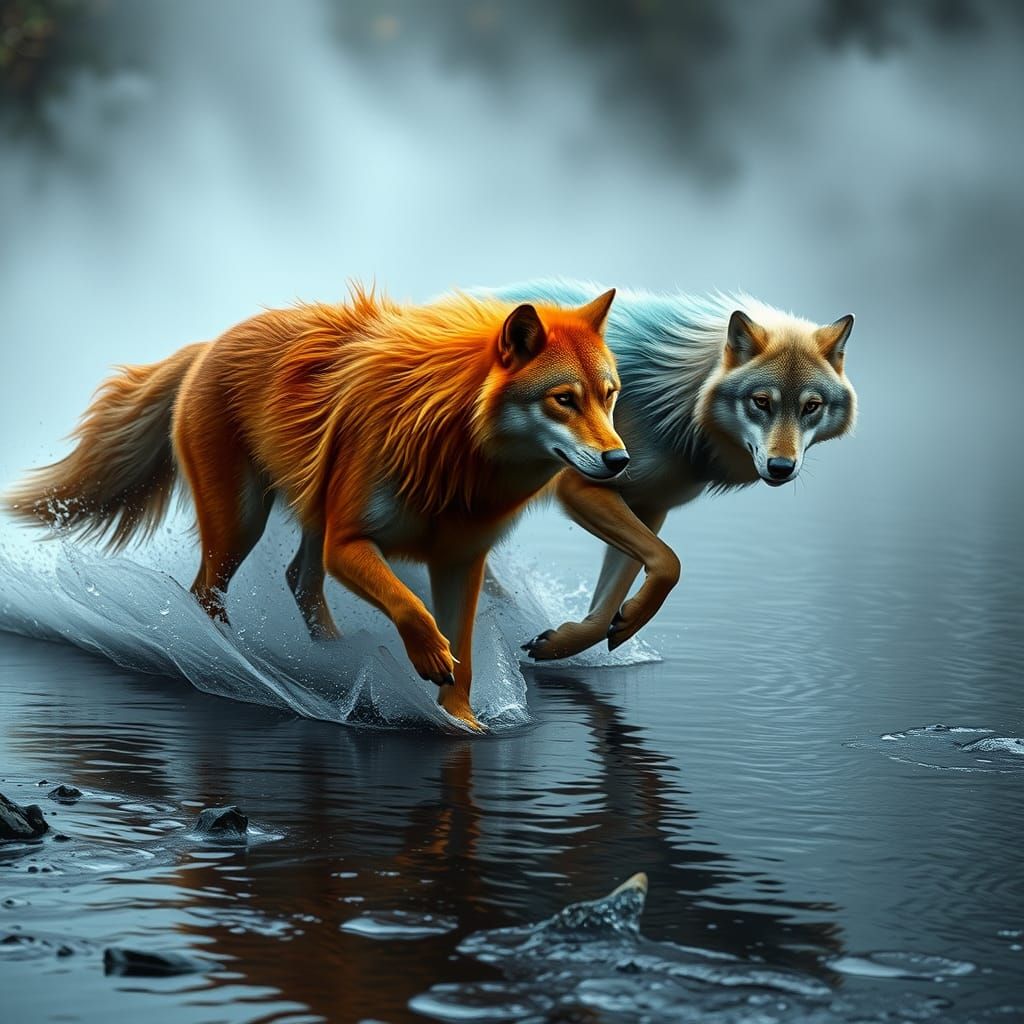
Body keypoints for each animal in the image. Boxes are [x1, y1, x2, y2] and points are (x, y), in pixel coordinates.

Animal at [6, 286, 625, 730]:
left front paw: (462, 722)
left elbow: (465, 656)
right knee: (206, 592)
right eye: (564, 399)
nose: (619, 459)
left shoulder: (459, 563)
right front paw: (428, 662)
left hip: (307, 516)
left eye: (609, 395)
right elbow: (412, 610)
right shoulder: (348, 544)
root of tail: (208, 345)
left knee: (297, 580)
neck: (456, 455)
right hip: (242, 523)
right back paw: (232, 664)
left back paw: (331, 661)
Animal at [478, 280, 857, 661]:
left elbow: (612, 603)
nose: (780, 467)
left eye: (811, 406)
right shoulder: (580, 487)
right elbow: (670, 562)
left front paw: (569, 641)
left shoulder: (649, 506)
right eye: (761, 402)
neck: (677, 407)